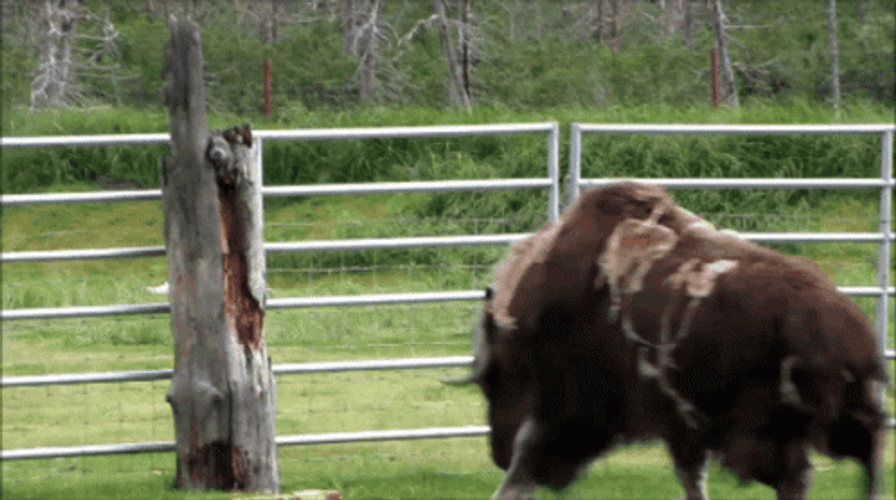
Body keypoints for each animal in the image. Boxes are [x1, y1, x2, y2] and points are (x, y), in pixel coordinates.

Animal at [452, 182, 888, 500]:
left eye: (495, 378)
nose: (497, 453)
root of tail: (847, 332)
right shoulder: (681, 428)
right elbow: (692, 479)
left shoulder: (569, 414)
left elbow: (524, 469)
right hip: (841, 425)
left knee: (800, 478)